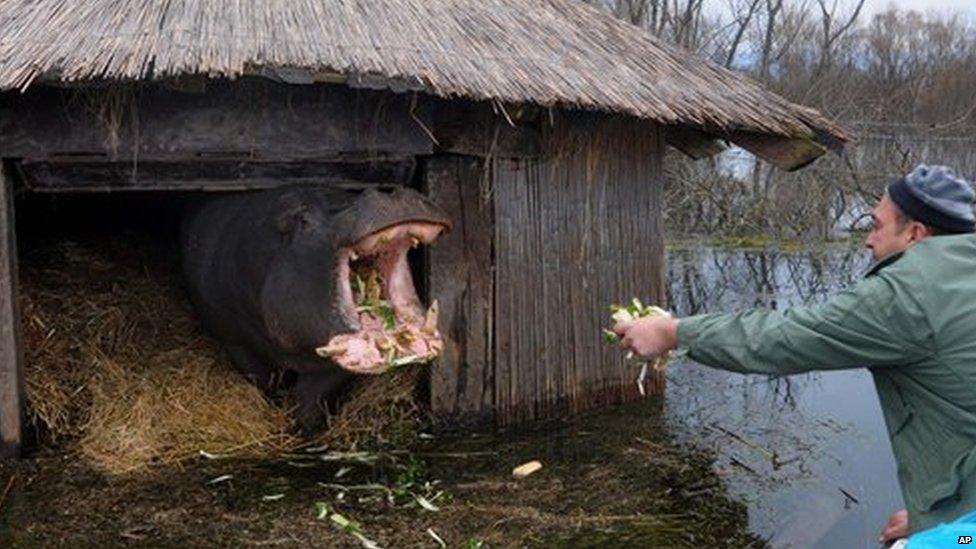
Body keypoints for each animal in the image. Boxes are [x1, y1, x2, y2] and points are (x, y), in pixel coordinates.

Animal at [180, 184, 451, 432]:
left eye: (350, 192)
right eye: (302, 218)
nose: (390, 192)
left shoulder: (330, 362)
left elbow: (312, 400)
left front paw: (305, 428)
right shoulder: (234, 341)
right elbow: (262, 379)